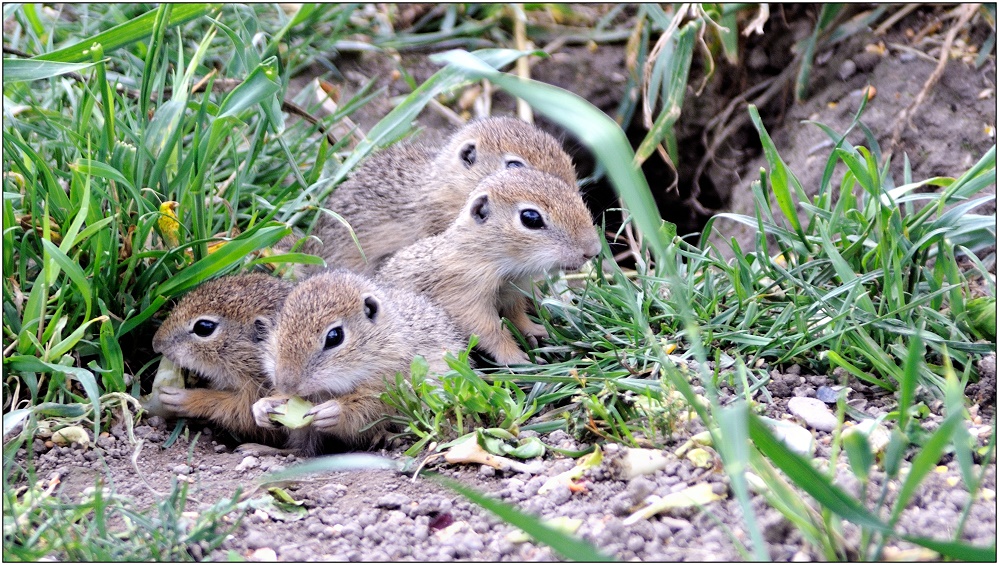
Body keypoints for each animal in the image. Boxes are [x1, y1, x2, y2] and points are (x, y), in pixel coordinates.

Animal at [254, 268, 464, 454]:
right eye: (279, 327)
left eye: (334, 336)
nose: (286, 386)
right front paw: (264, 407)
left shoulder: (386, 384)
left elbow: (367, 407)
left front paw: (334, 410)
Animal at [374, 165, 592, 364]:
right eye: (531, 218)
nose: (593, 250)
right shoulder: (465, 300)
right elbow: (491, 332)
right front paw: (517, 358)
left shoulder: (513, 294)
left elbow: (517, 317)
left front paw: (539, 331)